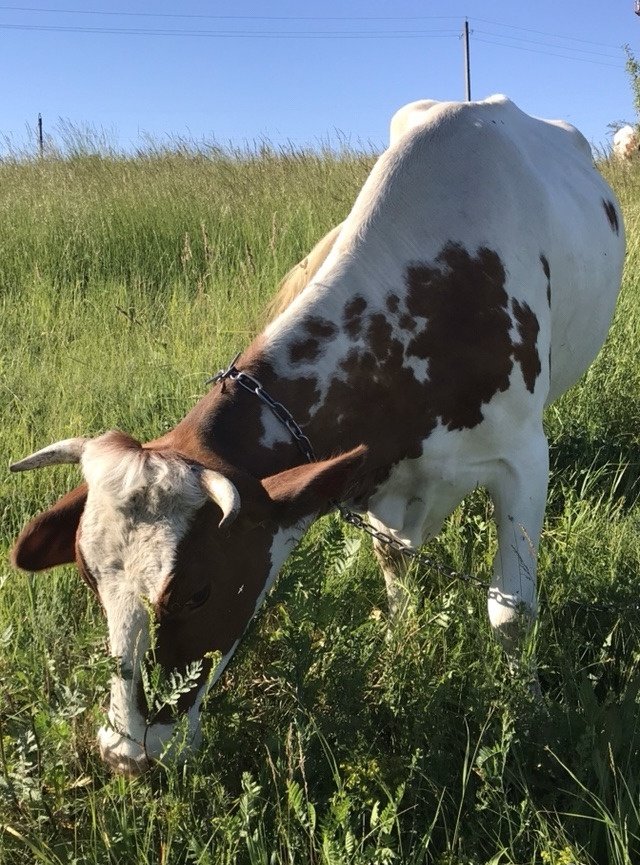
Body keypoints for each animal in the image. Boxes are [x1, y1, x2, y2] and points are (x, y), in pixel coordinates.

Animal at [10, 96, 624, 776]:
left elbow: (511, 611)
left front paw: (530, 707)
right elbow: (395, 566)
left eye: (197, 593)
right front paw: (400, 647)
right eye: (90, 580)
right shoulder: (373, 476)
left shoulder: (522, 460)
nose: (126, 756)